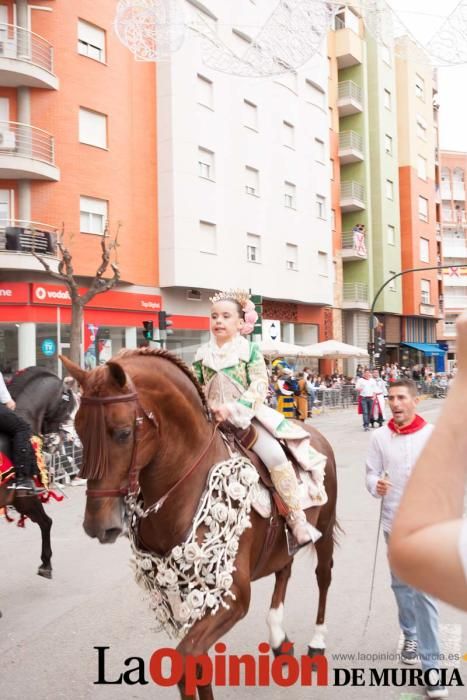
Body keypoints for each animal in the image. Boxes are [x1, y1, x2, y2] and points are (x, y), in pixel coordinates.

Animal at [0, 366, 77, 580]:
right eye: (67, 403)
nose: (58, 439)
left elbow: (44, 522)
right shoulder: (24, 497)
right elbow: (46, 522)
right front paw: (46, 562)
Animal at [63, 350, 340, 700]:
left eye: (123, 432)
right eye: (78, 429)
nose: (97, 524)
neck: (185, 483)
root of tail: (309, 430)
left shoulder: (233, 596)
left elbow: (187, 656)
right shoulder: (188, 591)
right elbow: (194, 663)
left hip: (326, 528)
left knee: (323, 576)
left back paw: (317, 642)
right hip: (282, 544)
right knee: (284, 569)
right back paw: (278, 637)